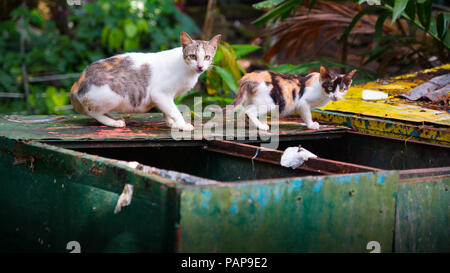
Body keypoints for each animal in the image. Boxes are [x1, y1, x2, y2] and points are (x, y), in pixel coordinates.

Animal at [70, 31, 221, 130]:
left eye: (207, 57)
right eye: (193, 56)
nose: (200, 66)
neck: (188, 71)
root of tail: (78, 81)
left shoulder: (165, 98)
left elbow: (168, 110)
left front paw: (171, 123)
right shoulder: (160, 94)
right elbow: (174, 110)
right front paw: (182, 125)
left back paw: (115, 118)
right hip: (114, 94)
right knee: (93, 112)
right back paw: (113, 123)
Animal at [209, 65, 356, 130]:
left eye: (342, 89)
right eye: (330, 87)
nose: (335, 96)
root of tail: (248, 76)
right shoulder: (303, 102)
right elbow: (307, 114)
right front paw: (311, 124)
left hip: (253, 99)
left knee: (243, 112)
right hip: (269, 102)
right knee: (248, 111)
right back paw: (262, 127)